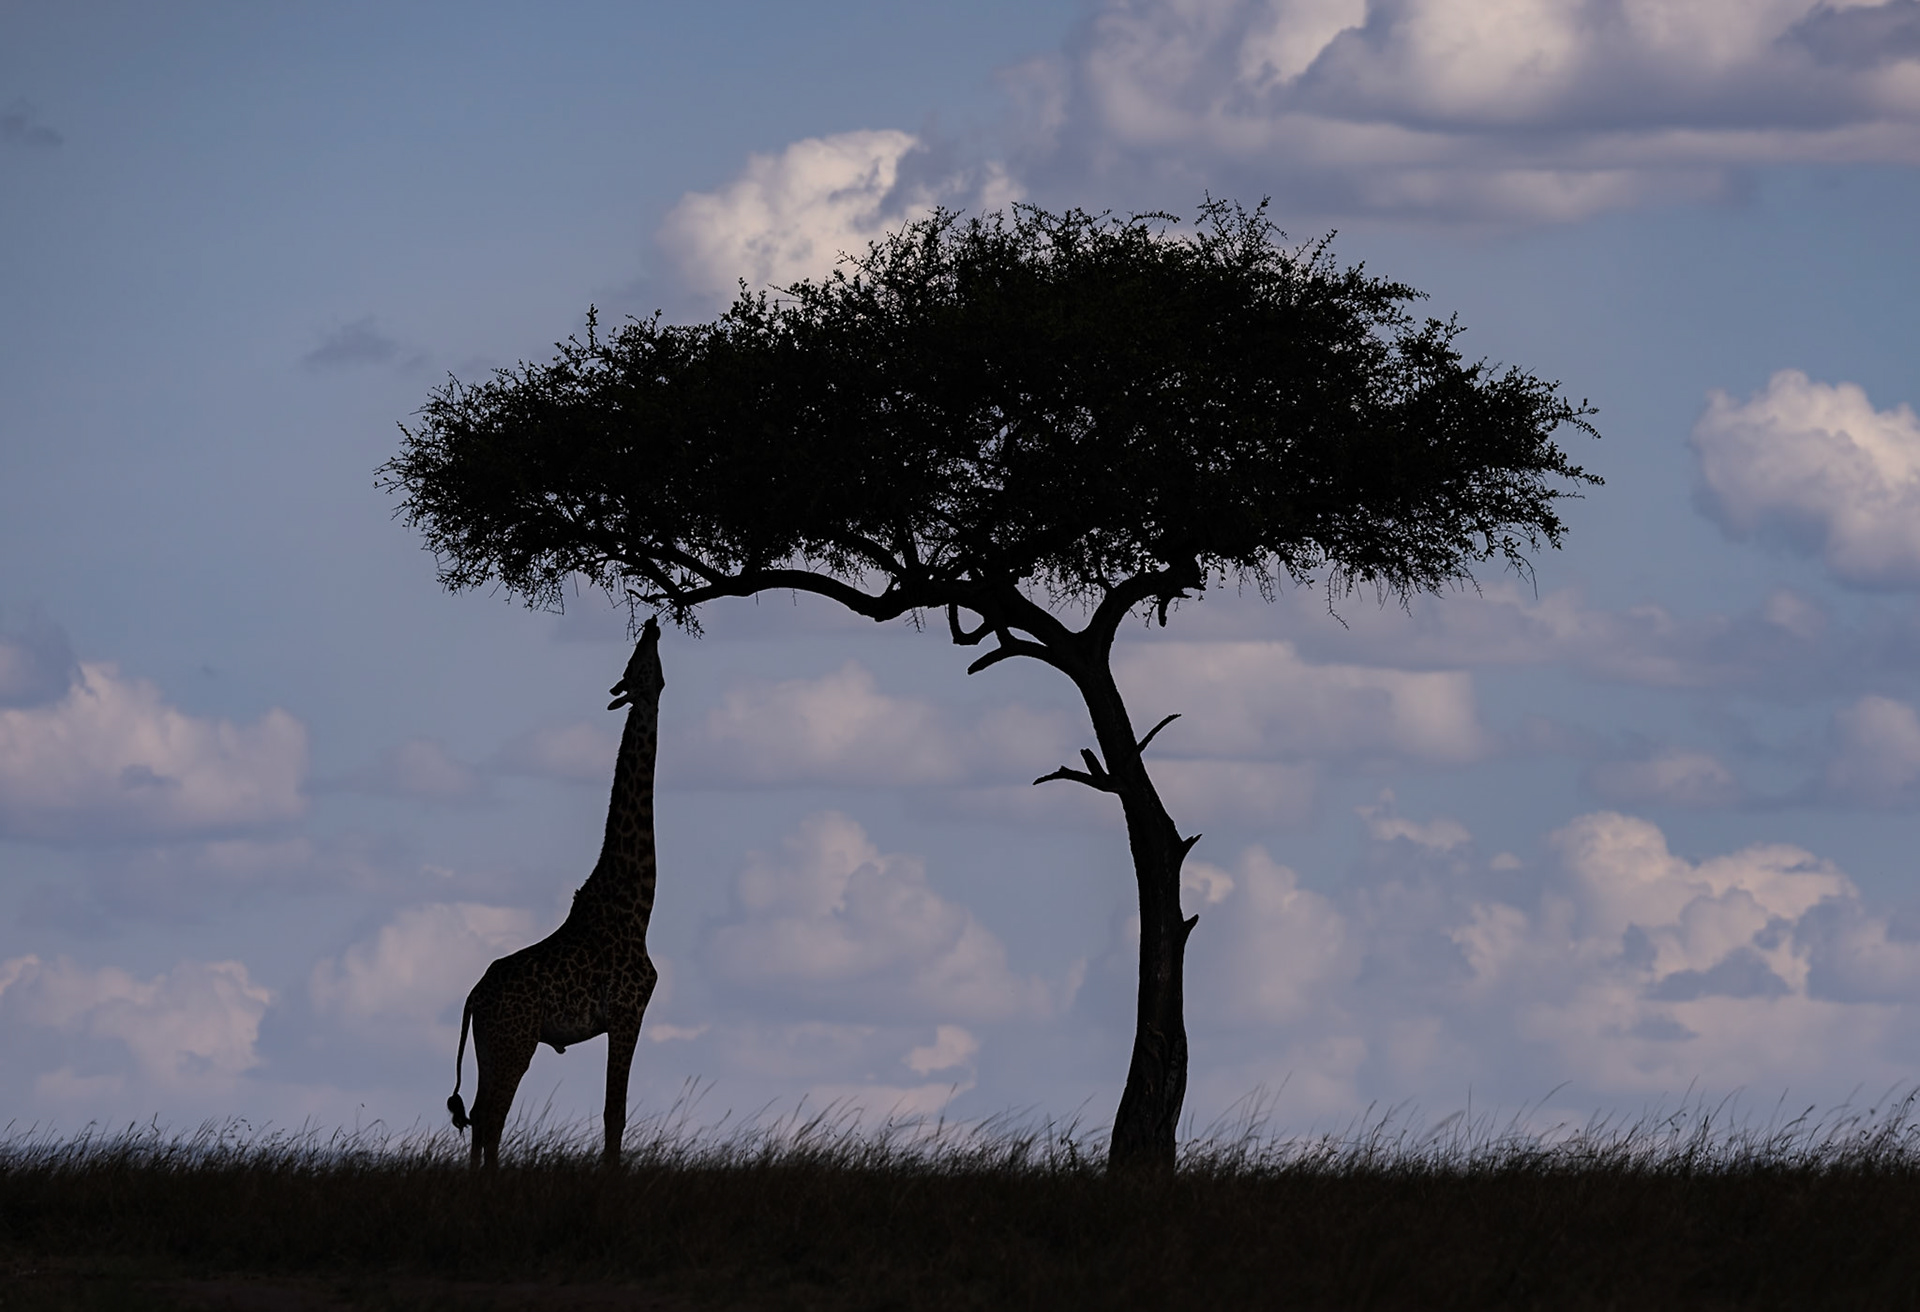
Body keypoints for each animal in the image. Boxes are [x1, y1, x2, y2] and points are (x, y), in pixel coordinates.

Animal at [447, 616, 665, 1168]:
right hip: (516, 1042)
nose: (653, 623)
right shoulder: (628, 1011)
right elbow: (615, 1114)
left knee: (479, 1114)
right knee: (491, 1116)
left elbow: (614, 1113)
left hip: (491, 1045)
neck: (638, 906)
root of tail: (473, 995)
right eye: (638, 661)